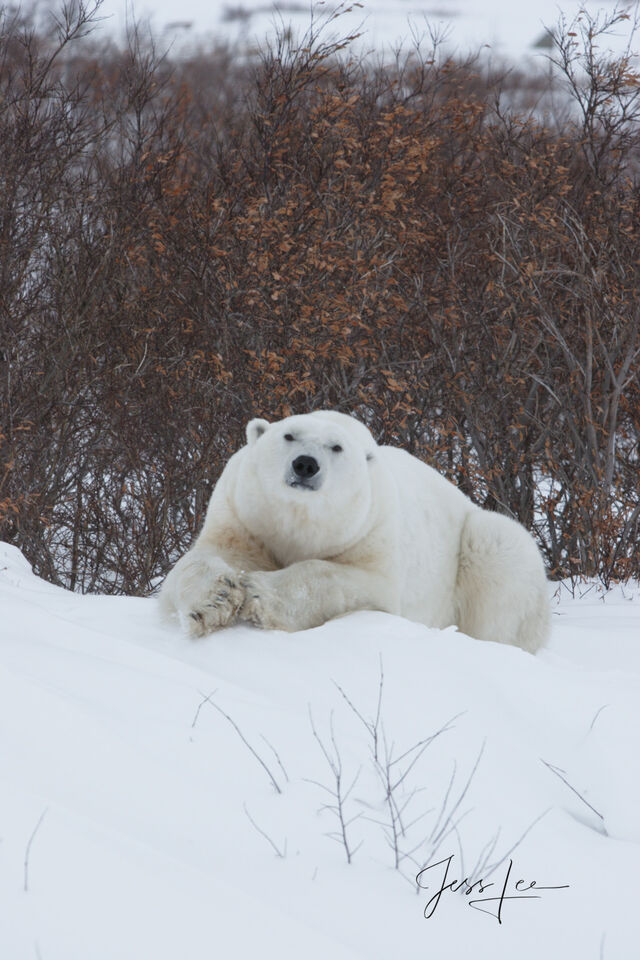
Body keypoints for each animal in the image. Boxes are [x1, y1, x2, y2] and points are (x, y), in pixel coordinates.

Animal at [160, 408, 552, 648]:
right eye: (288, 436)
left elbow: (349, 581)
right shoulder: (242, 518)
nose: (306, 464)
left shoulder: (371, 531)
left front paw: (258, 592)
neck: (295, 524)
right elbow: (200, 560)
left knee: (500, 558)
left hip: (483, 546)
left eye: (336, 447)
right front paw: (216, 600)